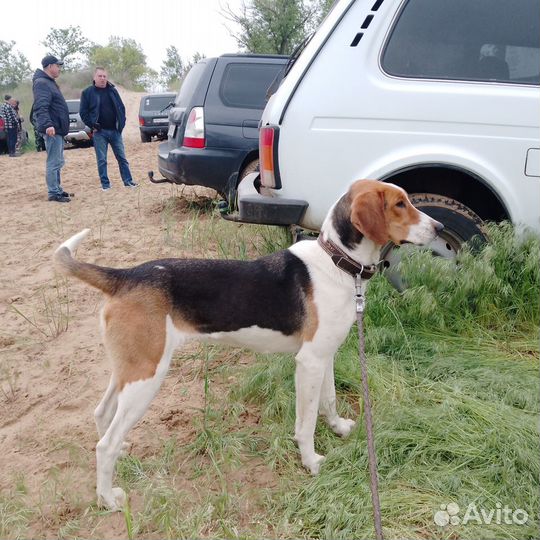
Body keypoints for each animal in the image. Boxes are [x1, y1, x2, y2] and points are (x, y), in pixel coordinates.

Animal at [53, 179, 442, 508]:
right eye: (399, 204)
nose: (439, 228)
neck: (336, 263)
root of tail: (125, 275)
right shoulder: (309, 362)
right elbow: (305, 424)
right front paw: (311, 462)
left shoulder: (325, 355)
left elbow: (328, 401)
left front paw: (338, 428)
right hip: (147, 376)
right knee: (104, 444)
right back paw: (108, 499)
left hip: (130, 369)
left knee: (102, 414)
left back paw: (121, 455)